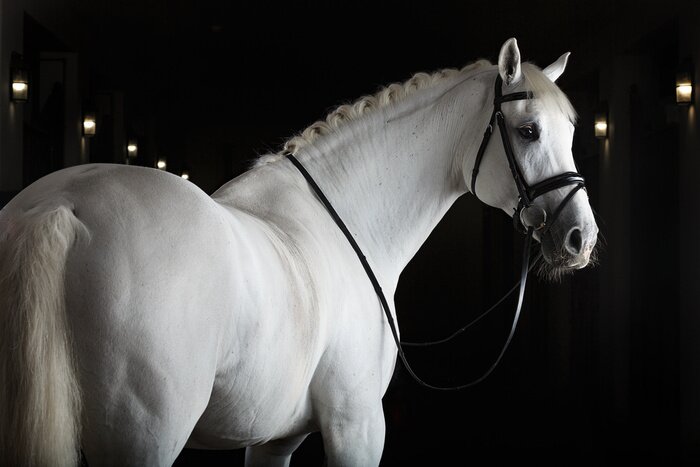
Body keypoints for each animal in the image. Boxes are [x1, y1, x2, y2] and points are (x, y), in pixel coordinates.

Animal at [0, 38, 598, 466]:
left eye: (570, 132)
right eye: (527, 130)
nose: (581, 238)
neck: (347, 221)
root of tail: (59, 208)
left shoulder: (273, 440)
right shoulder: (358, 425)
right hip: (146, 439)